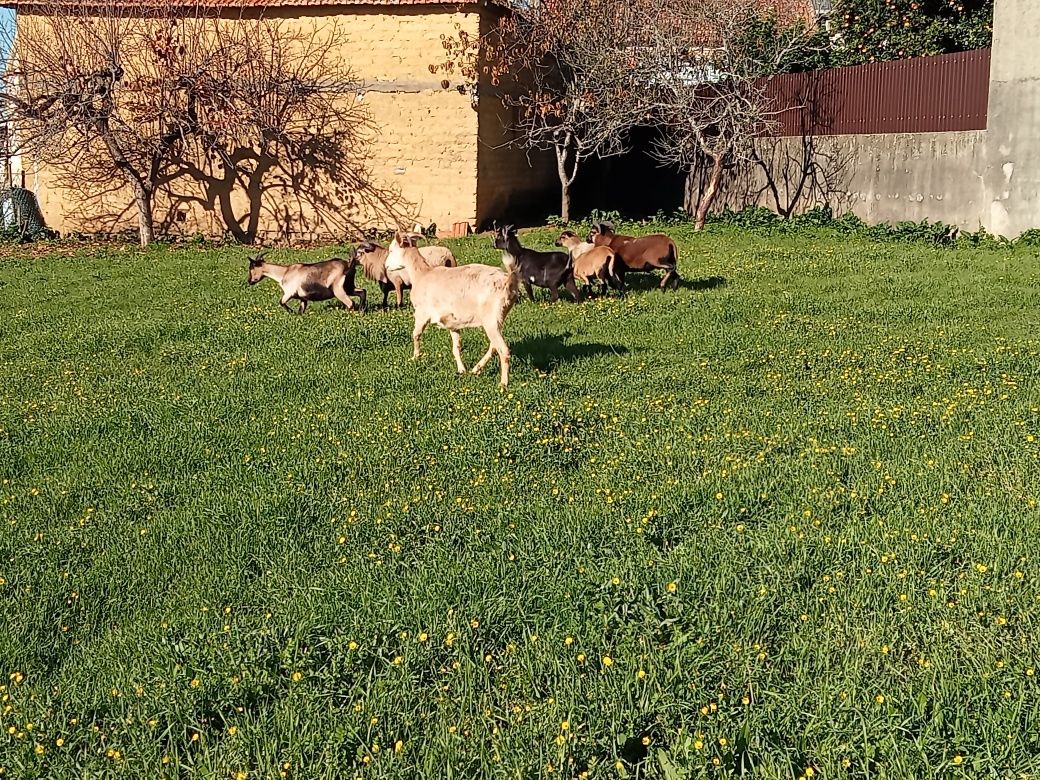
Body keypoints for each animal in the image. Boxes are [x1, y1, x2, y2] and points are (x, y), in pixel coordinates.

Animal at [386, 231, 520, 391]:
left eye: (391, 250)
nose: (386, 266)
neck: (422, 274)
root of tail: (508, 282)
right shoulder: (452, 322)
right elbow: (456, 347)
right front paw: (461, 370)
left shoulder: (421, 313)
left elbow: (415, 334)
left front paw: (415, 357)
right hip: (497, 318)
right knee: (494, 346)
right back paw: (476, 369)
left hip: (491, 318)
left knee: (503, 350)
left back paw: (503, 384)